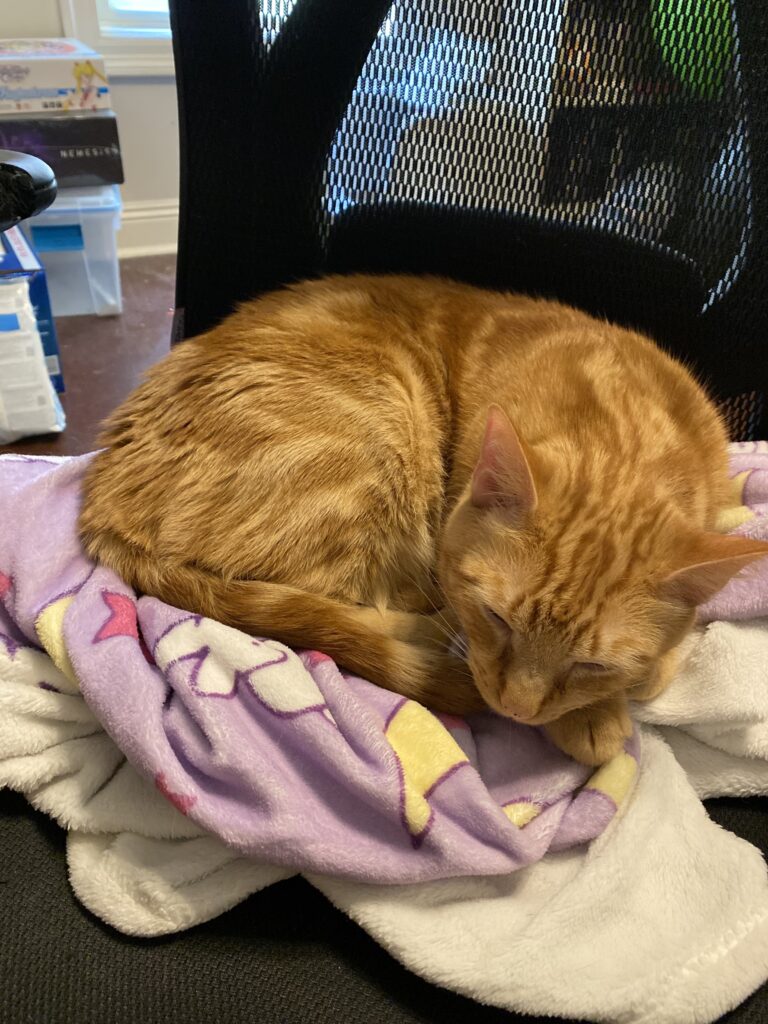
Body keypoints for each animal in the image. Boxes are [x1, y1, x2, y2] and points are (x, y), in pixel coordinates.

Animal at [78, 276, 768, 765]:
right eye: (495, 618)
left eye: (594, 664)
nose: (515, 709)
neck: (628, 422)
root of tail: (102, 495)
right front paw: (592, 717)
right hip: (377, 441)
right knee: (338, 607)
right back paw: (424, 638)